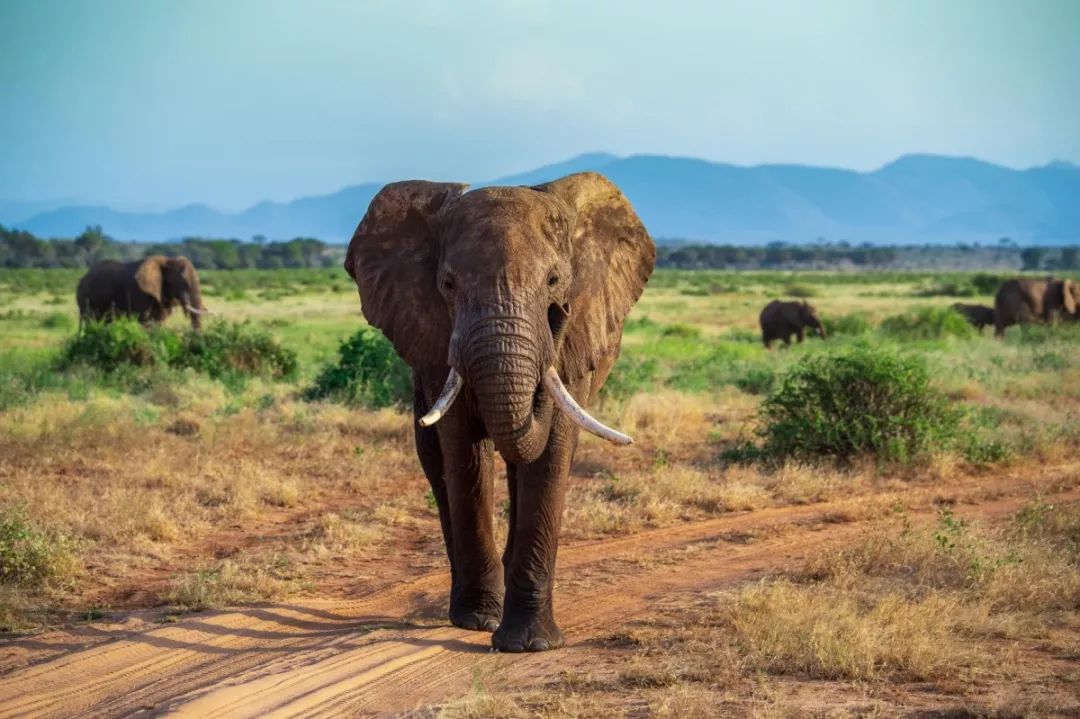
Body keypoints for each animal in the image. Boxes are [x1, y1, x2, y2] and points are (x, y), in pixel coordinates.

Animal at [76, 253, 208, 328]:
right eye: (183, 279)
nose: (206, 309)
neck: (167, 260)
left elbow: (158, 320)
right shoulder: (139, 292)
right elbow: (145, 320)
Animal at [343, 170, 656, 647]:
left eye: (554, 281)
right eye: (448, 285)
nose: (560, 313)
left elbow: (551, 453)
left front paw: (529, 644)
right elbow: (464, 454)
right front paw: (479, 621)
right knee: (436, 462)